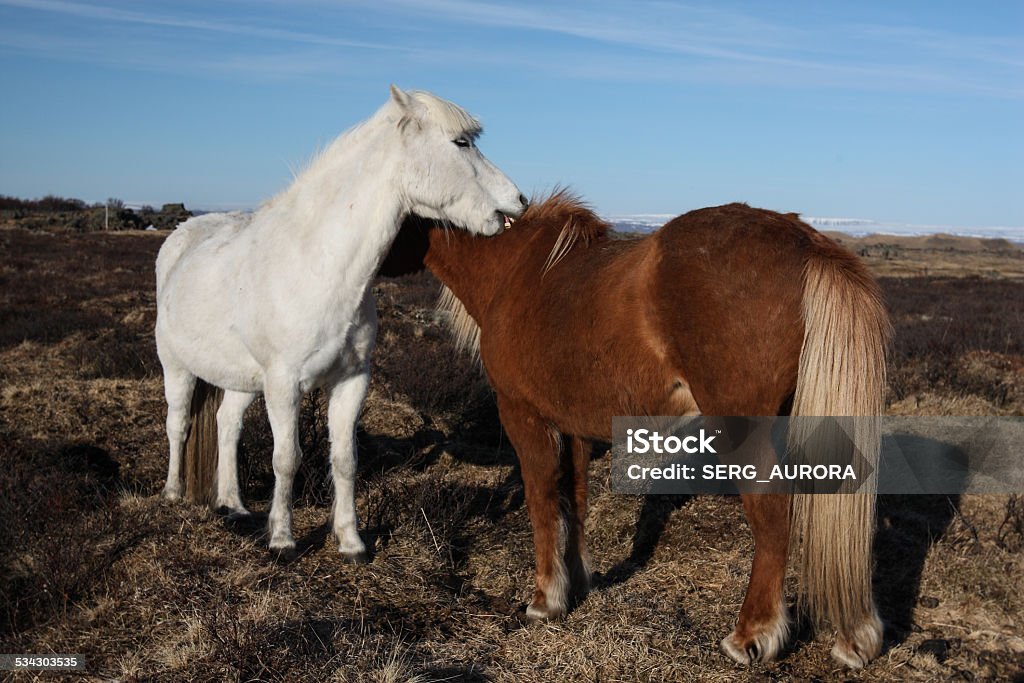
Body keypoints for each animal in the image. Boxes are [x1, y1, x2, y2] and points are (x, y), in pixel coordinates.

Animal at [159, 85, 528, 561]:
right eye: (461, 143)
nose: (518, 201)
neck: (317, 264)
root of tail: (180, 239)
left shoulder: (351, 381)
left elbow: (345, 459)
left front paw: (351, 542)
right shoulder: (284, 385)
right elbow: (287, 459)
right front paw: (283, 540)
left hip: (242, 381)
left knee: (227, 426)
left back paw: (234, 505)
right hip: (177, 367)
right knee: (178, 424)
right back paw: (172, 493)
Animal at [385, 191, 888, 667]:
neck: (512, 271)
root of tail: (807, 242)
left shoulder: (524, 416)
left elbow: (542, 501)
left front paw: (545, 601)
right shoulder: (574, 428)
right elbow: (575, 501)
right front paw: (578, 582)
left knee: (772, 517)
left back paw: (752, 634)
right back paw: (855, 638)